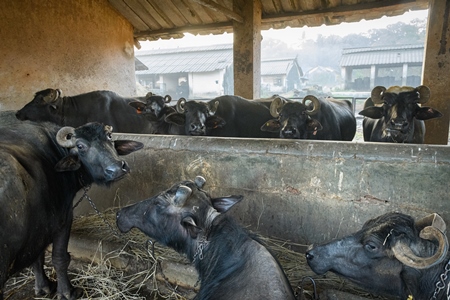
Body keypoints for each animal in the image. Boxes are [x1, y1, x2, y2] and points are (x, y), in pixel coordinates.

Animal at [0, 120, 143, 298]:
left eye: (109, 137)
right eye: (80, 146)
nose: (116, 169)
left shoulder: (39, 228)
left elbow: (37, 258)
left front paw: (43, 287)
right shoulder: (63, 220)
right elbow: (59, 258)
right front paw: (67, 292)